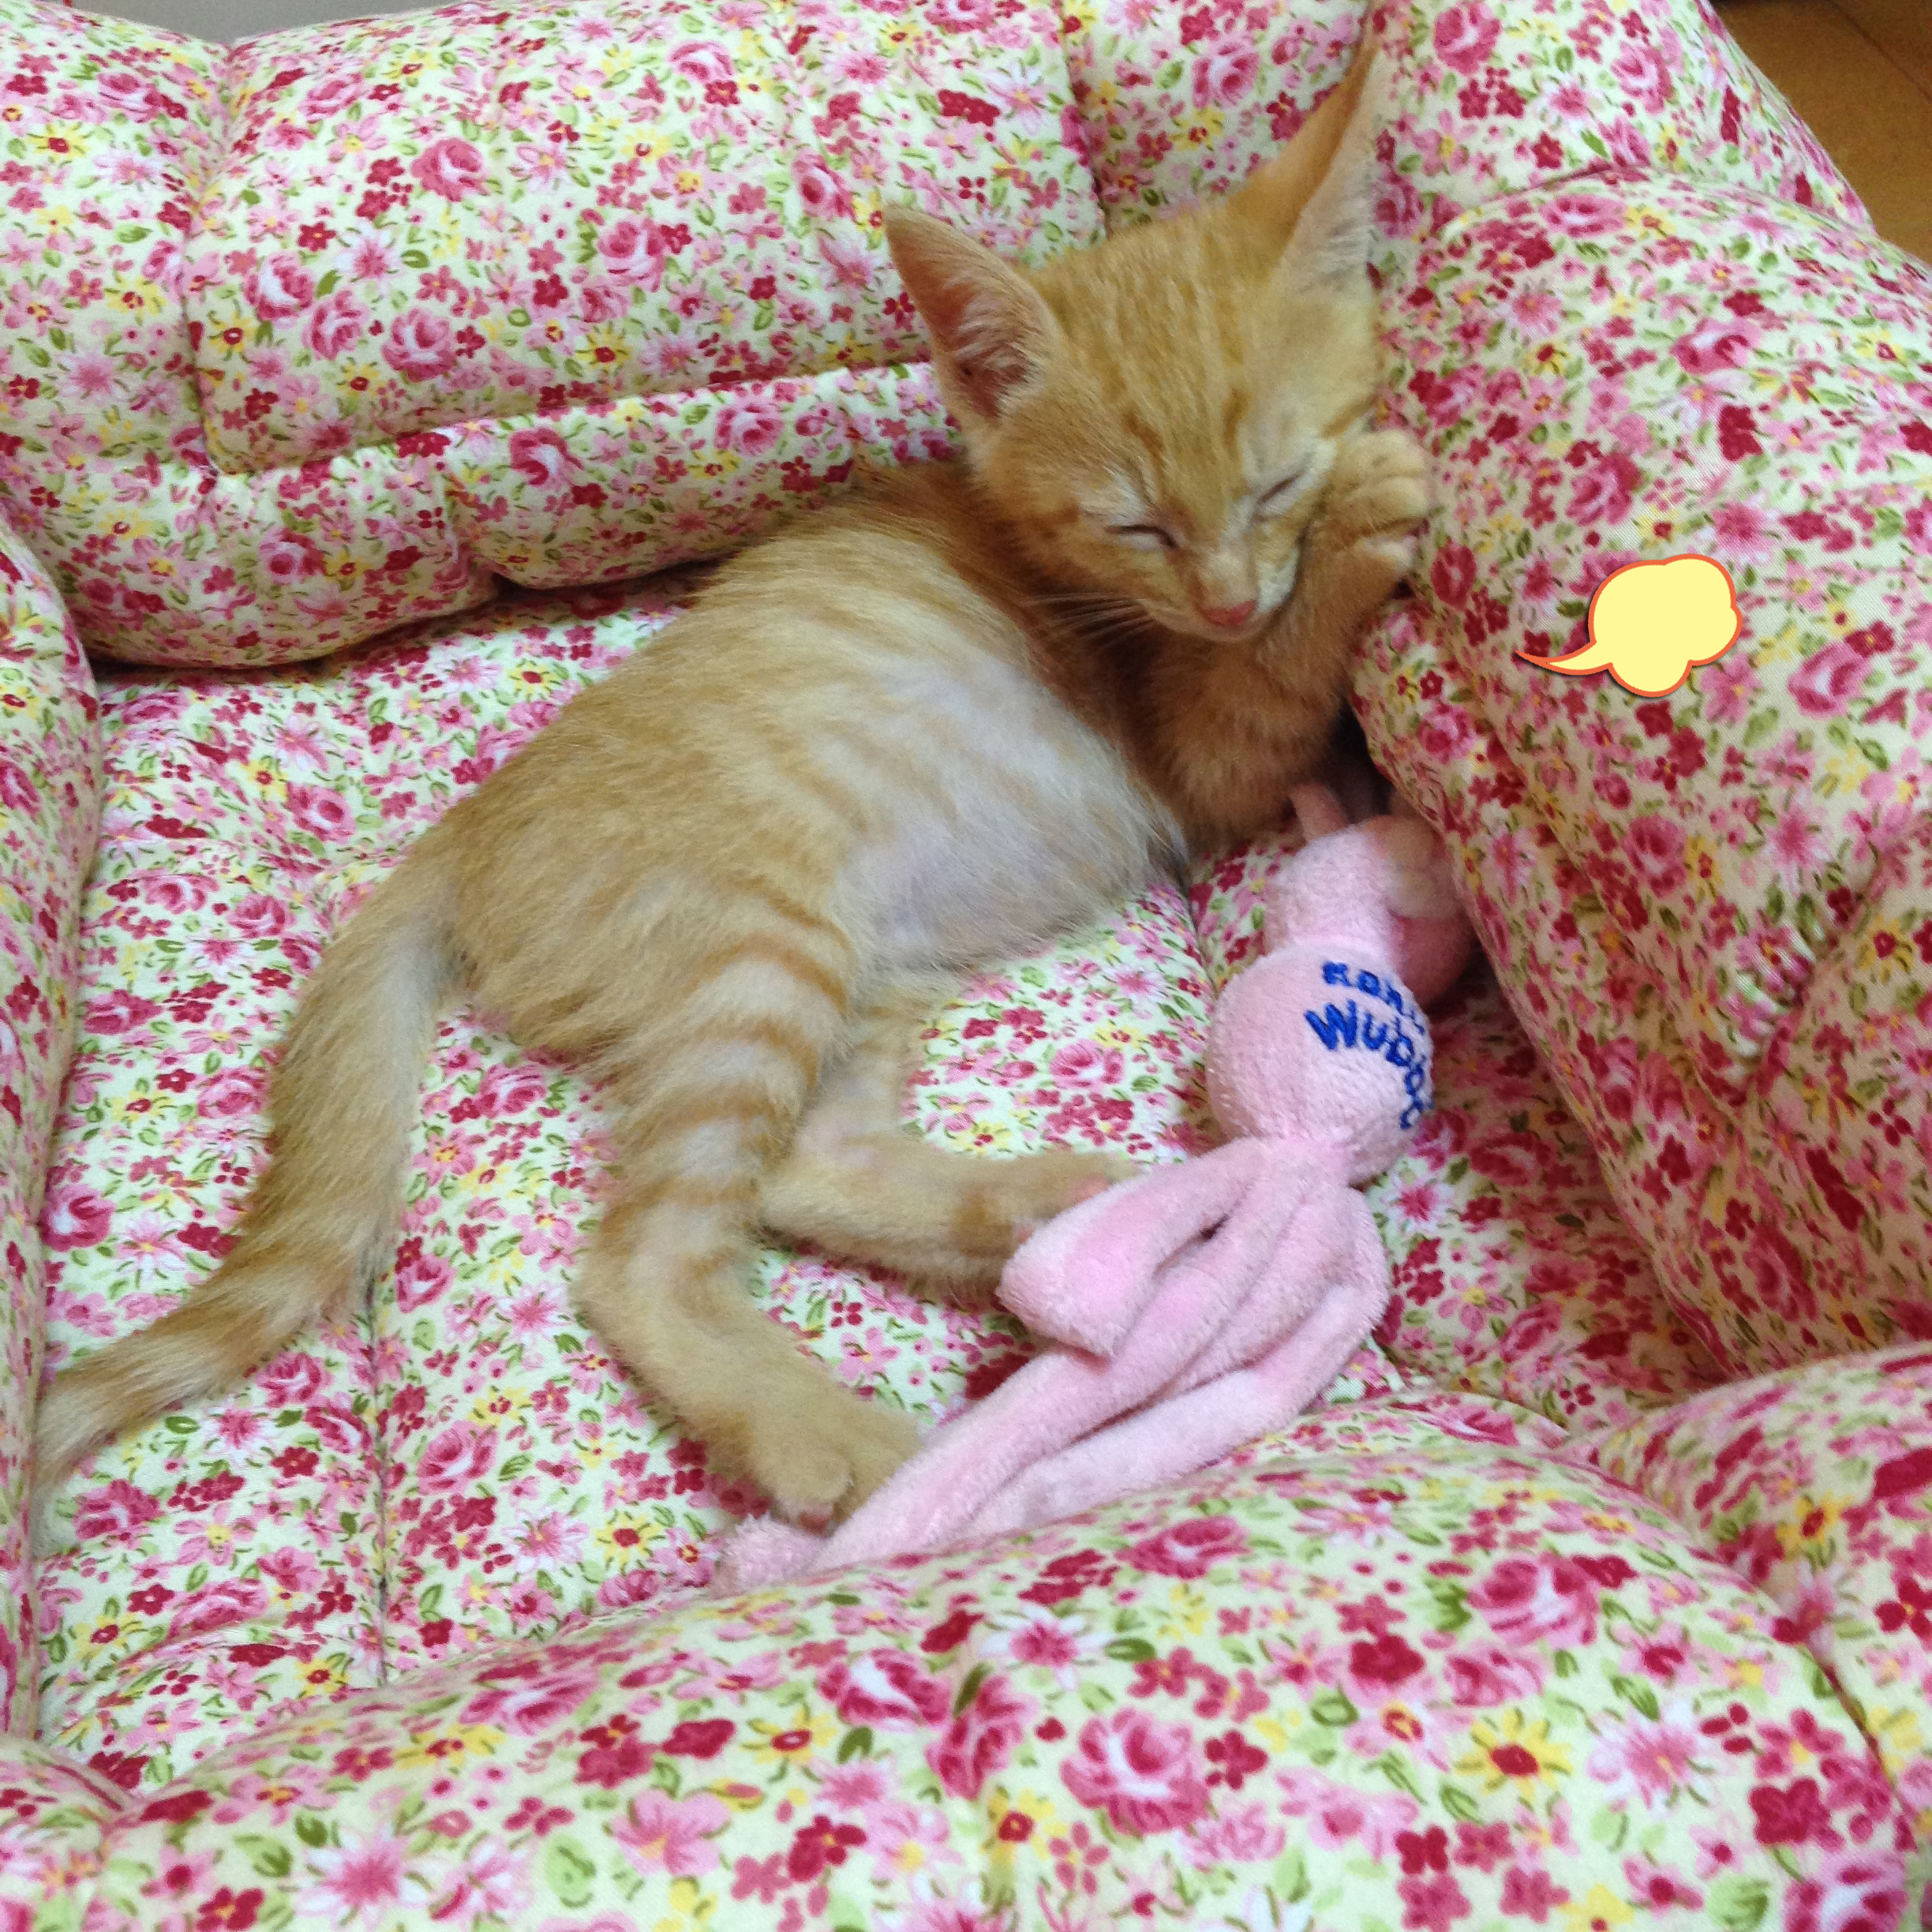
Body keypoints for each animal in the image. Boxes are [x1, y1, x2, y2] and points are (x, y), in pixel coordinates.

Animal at [34, 49, 1429, 1538]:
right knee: (643, 1255)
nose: (1224, 597)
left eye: (1269, 479)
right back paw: (831, 1439)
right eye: (1137, 526)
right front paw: (1364, 522)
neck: (1061, 573)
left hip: (877, 960)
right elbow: (1272, 689)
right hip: (761, 947)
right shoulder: (1198, 751)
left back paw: (1033, 1210)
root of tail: (464, 831)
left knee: (806, 1166)